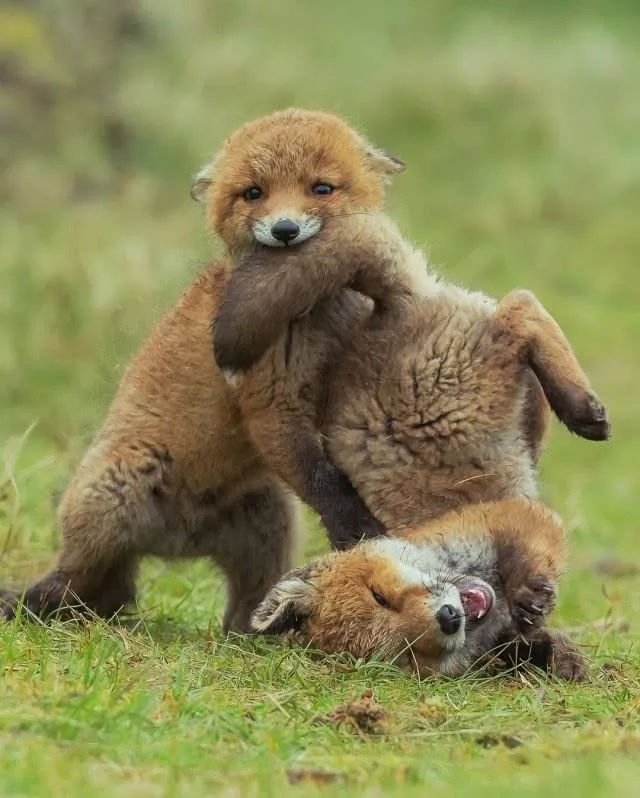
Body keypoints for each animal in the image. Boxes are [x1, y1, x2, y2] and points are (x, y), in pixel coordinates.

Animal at [0, 109, 412, 631]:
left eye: (322, 188)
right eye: (253, 193)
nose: (284, 230)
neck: (318, 317)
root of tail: (180, 545)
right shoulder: (269, 401)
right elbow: (324, 480)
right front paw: (357, 532)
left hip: (270, 525)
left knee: (220, 610)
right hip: (119, 489)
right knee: (78, 579)